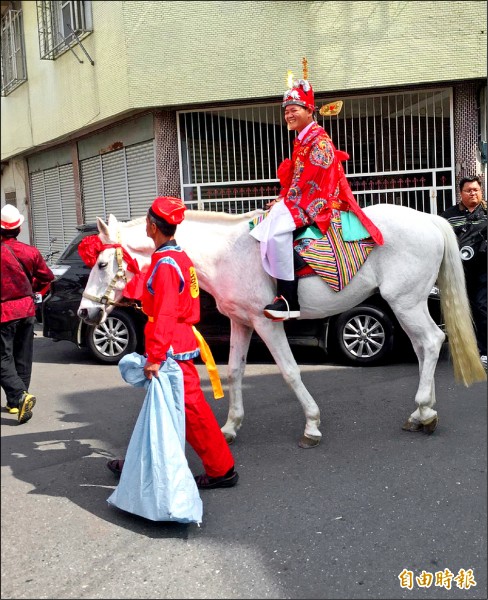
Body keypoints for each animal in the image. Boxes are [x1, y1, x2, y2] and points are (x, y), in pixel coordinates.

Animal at [76, 204, 484, 448]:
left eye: (101, 264)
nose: (84, 312)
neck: (226, 253)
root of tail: (428, 218)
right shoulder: (240, 321)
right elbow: (235, 371)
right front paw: (230, 426)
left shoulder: (266, 322)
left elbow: (289, 371)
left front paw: (312, 425)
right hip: (408, 304)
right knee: (423, 346)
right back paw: (421, 412)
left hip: (405, 302)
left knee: (431, 341)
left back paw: (425, 411)